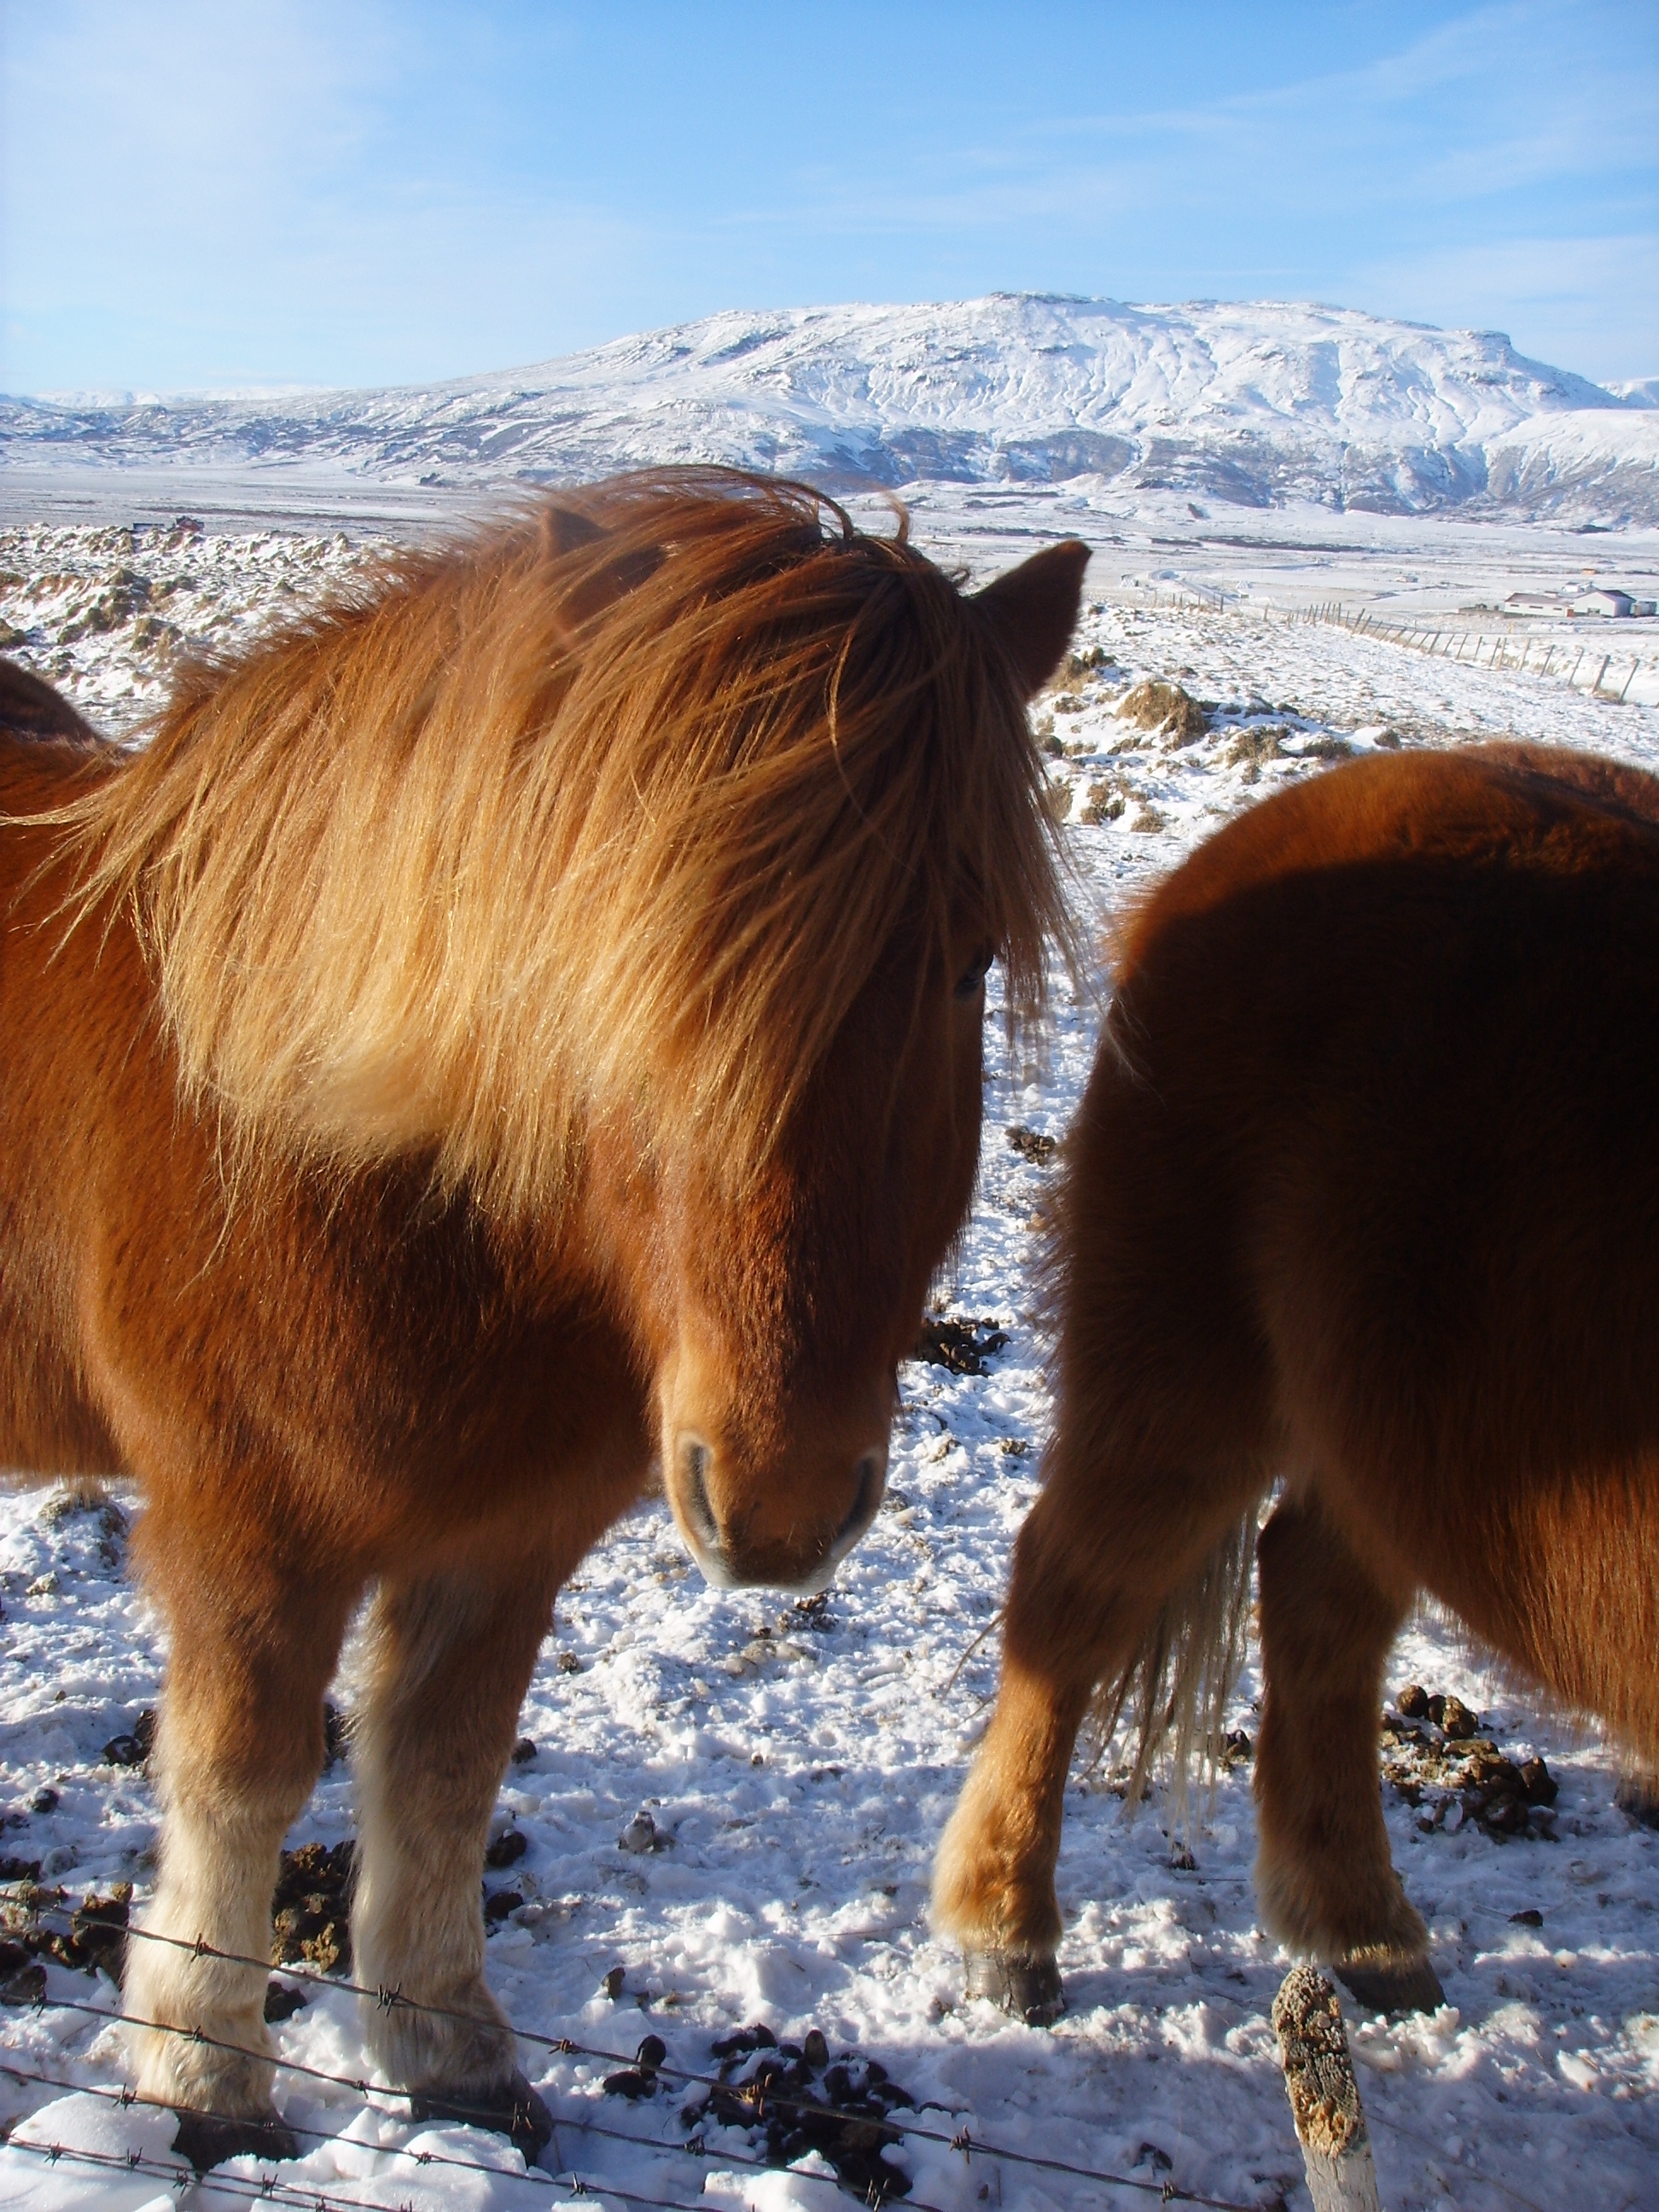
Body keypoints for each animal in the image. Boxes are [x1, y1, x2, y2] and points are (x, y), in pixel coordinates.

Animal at [0, 480, 1092, 2158]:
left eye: (966, 961)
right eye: (614, 961)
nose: (780, 1500)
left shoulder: (506, 1540)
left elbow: (445, 1778)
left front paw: (452, 2056)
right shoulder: (242, 1537)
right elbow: (239, 1783)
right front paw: (204, 2082)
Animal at [938, 738, 1659, 2026]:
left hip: (1402, 1432)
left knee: (1316, 1596)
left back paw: (1358, 1927)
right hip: (1187, 1369)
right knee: (1076, 1595)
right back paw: (1006, 1931)